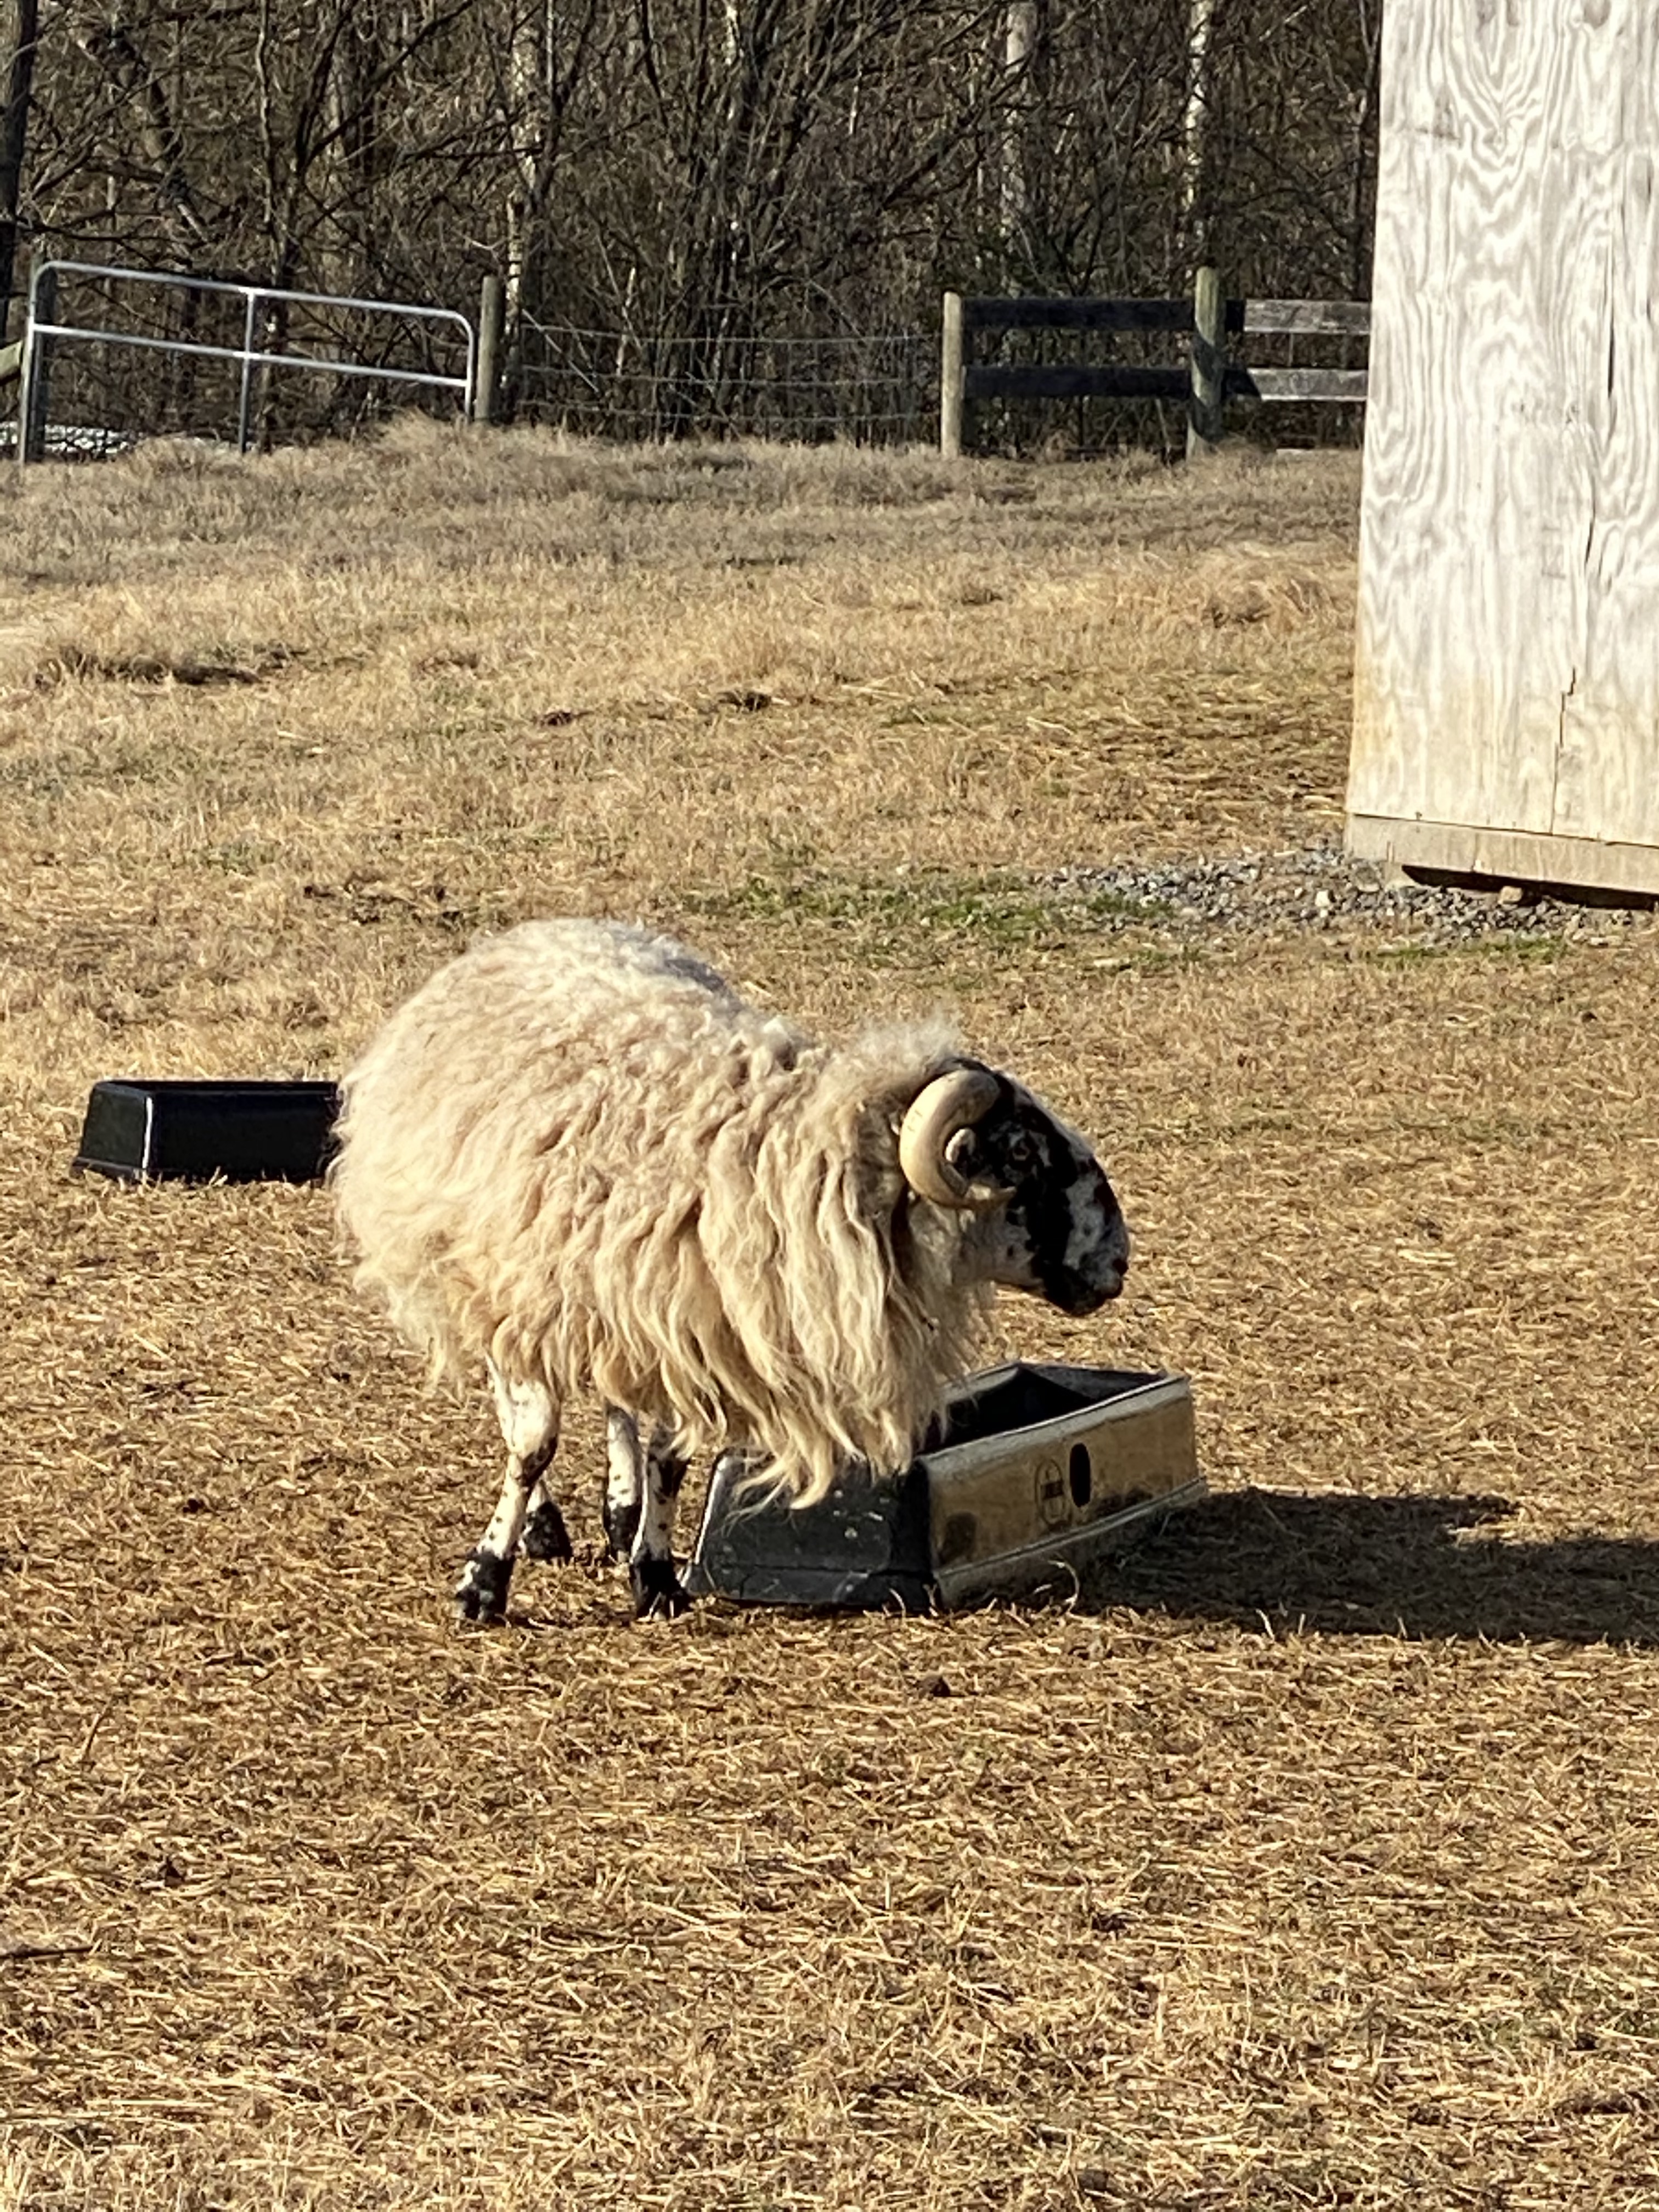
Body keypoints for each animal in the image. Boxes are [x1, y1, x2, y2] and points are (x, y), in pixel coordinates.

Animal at [331, 918, 1130, 1621]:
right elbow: (531, 1449)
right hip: (479, 1274)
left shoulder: (684, 1321)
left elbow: (669, 1456)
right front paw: (485, 1582)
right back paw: (545, 1526)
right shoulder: (535, 1299)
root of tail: (550, 927)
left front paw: (655, 1574)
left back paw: (620, 1509)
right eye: (1020, 1153)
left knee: (618, 1398)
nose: (1117, 1258)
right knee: (515, 1400)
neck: (776, 1157)